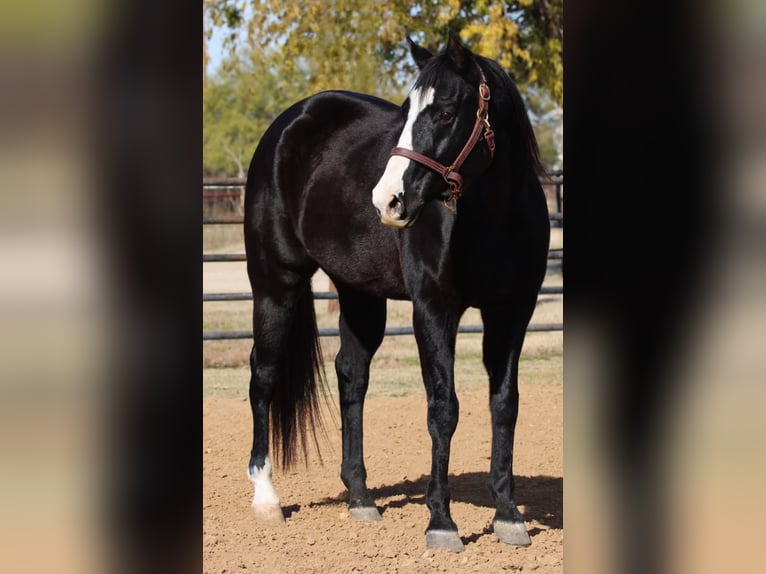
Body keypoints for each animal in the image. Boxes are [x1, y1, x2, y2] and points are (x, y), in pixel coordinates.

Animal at [246, 32, 552, 552]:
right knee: (262, 376)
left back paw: (360, 498)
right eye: (406, 111)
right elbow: (443, 409)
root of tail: (290, 123)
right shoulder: (433, 309)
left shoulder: (513, 312)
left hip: (358, 295)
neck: (493, 218)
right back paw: (267, 500)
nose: (386, 200)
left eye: (445, 112)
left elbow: (504, 405)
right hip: (274, 283)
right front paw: (441, 522)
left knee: (351, 376)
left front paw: (509, 515)